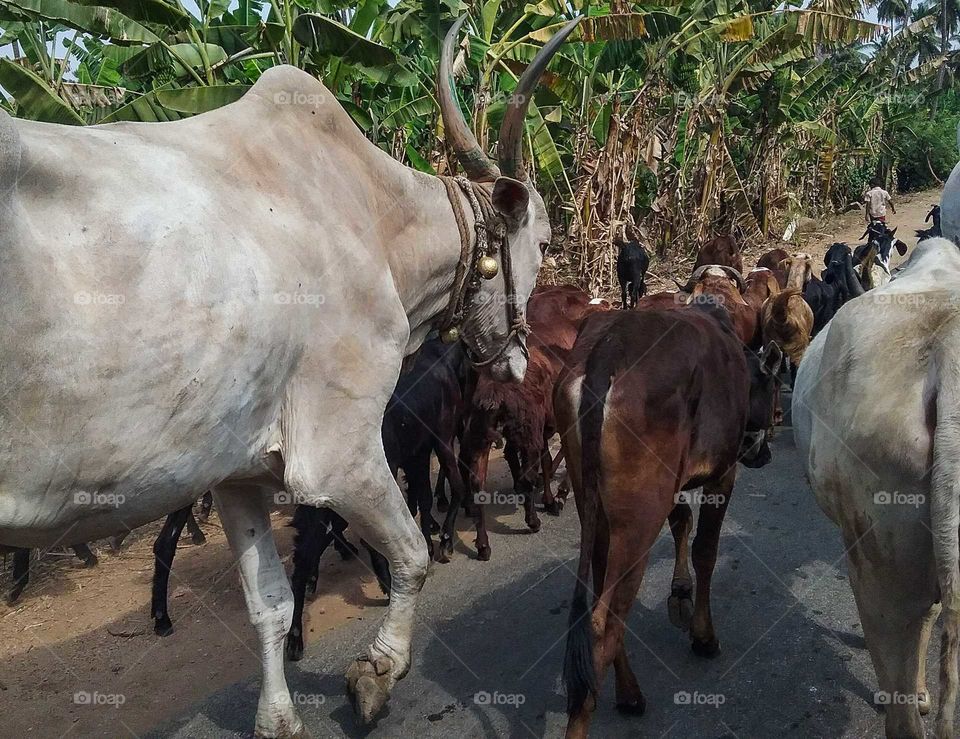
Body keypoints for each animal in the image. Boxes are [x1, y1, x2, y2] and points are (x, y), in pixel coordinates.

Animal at [0, 13, 579, 734]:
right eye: (546, 241)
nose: (519, 357)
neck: (377, 221)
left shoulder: (236, 471)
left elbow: (271, 603)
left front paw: (278, 718)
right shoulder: (339, 455)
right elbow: (411, 555)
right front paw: (377, 672)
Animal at [557, 307, 782, 739]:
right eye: (777, 393)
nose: (763, 455)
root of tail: (608, 351)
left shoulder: (675, 482)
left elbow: (682, 520)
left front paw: (679, 593)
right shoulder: (722, 474)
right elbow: (705, 550)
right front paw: (703, 635)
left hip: (595, 507)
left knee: (605, 598)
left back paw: (629, 692)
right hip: (640, 519)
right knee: (603, 621)